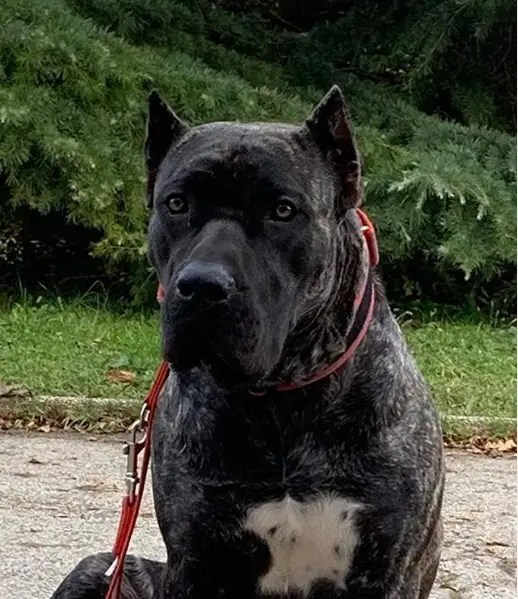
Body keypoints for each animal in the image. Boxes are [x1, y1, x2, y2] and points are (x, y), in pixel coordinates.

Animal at [49, 85, 446, 599]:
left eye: (283, 210)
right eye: (176, 203)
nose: (202, 285)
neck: (283, 399)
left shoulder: (388, 568)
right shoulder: (195, 559)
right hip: (98, 569)